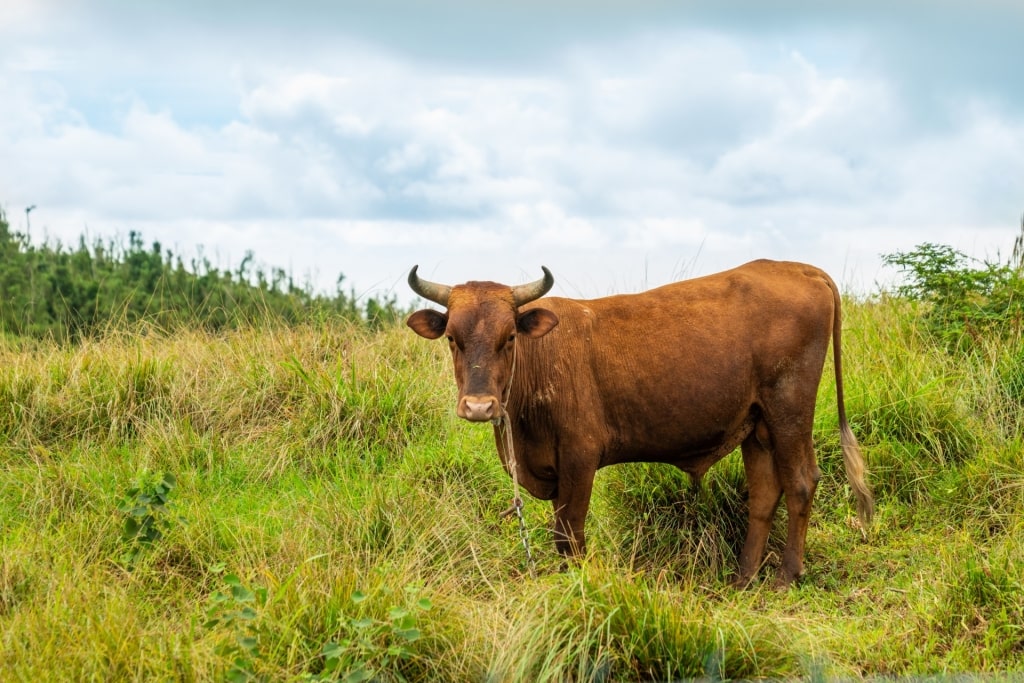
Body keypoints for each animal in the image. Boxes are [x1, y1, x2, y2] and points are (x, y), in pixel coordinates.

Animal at [407, 262, 872, 589]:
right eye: (452, 338)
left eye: (509, 337)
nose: (479, 406)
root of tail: (799, 268)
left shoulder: (579, 459)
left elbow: (570, 534)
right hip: (757, 425)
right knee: (763, 495)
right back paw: (743, 578)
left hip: (789, 411)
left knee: (801, 483)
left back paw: (785, 577)